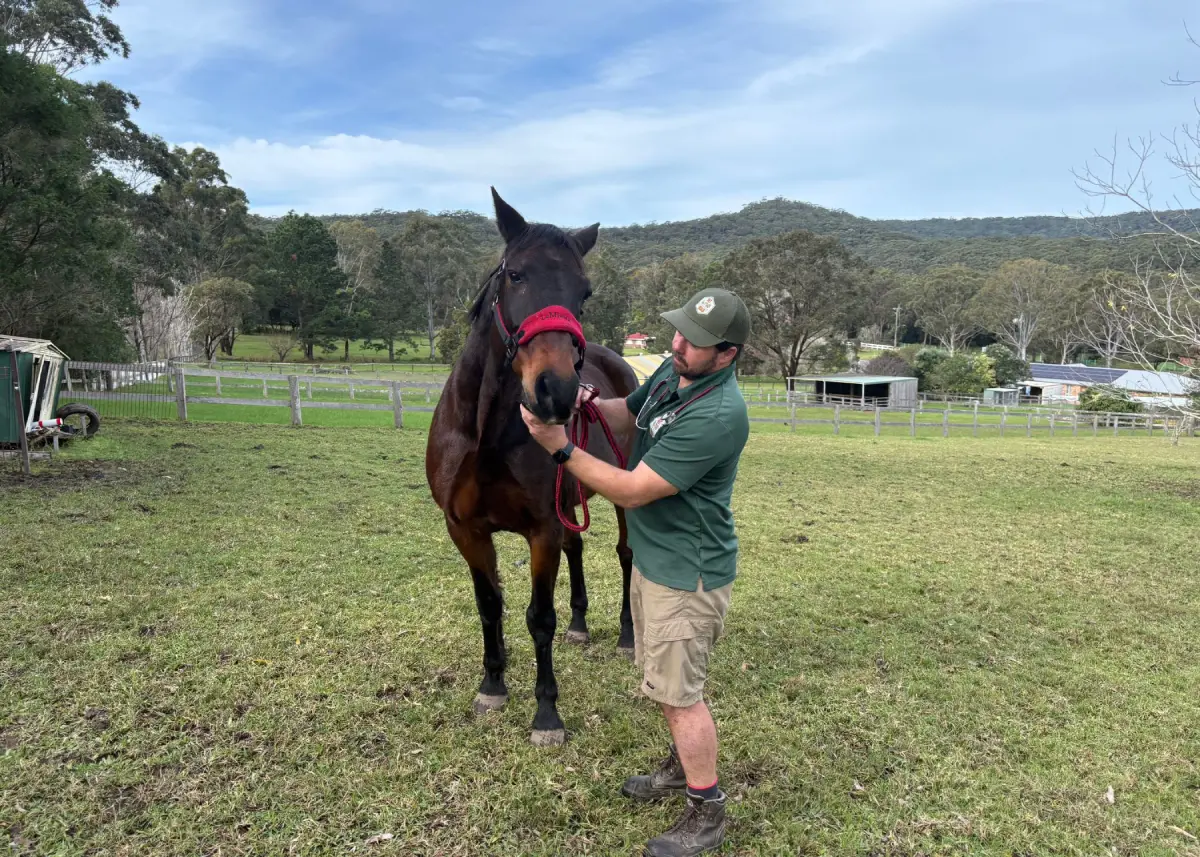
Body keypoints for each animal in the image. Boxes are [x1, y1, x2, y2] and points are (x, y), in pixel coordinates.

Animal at [425, 188, 638, 747]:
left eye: (584, 293)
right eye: (516, 275)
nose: (556, 392)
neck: (485, 435)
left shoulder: (541, 529)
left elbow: (540, 617)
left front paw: (546, 715)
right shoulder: (466, 529)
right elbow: (489, 604)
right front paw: (493, 685)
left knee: (626, 554)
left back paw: (628, 635)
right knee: (577, 547)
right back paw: (581, 627)